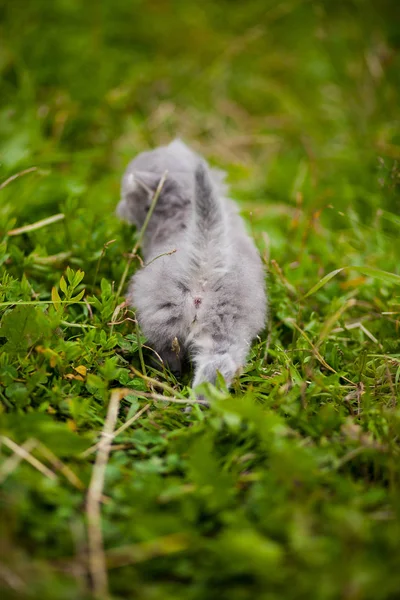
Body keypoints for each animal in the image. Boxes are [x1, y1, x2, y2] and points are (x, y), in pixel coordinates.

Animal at [117, 139, 268, 390]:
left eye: (127, 196)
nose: (119, 207)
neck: (186, 210)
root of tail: (207, 259)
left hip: (164, 323)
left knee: (168, 357)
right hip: (228, 327)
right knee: (219, 366)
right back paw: (201, 400)